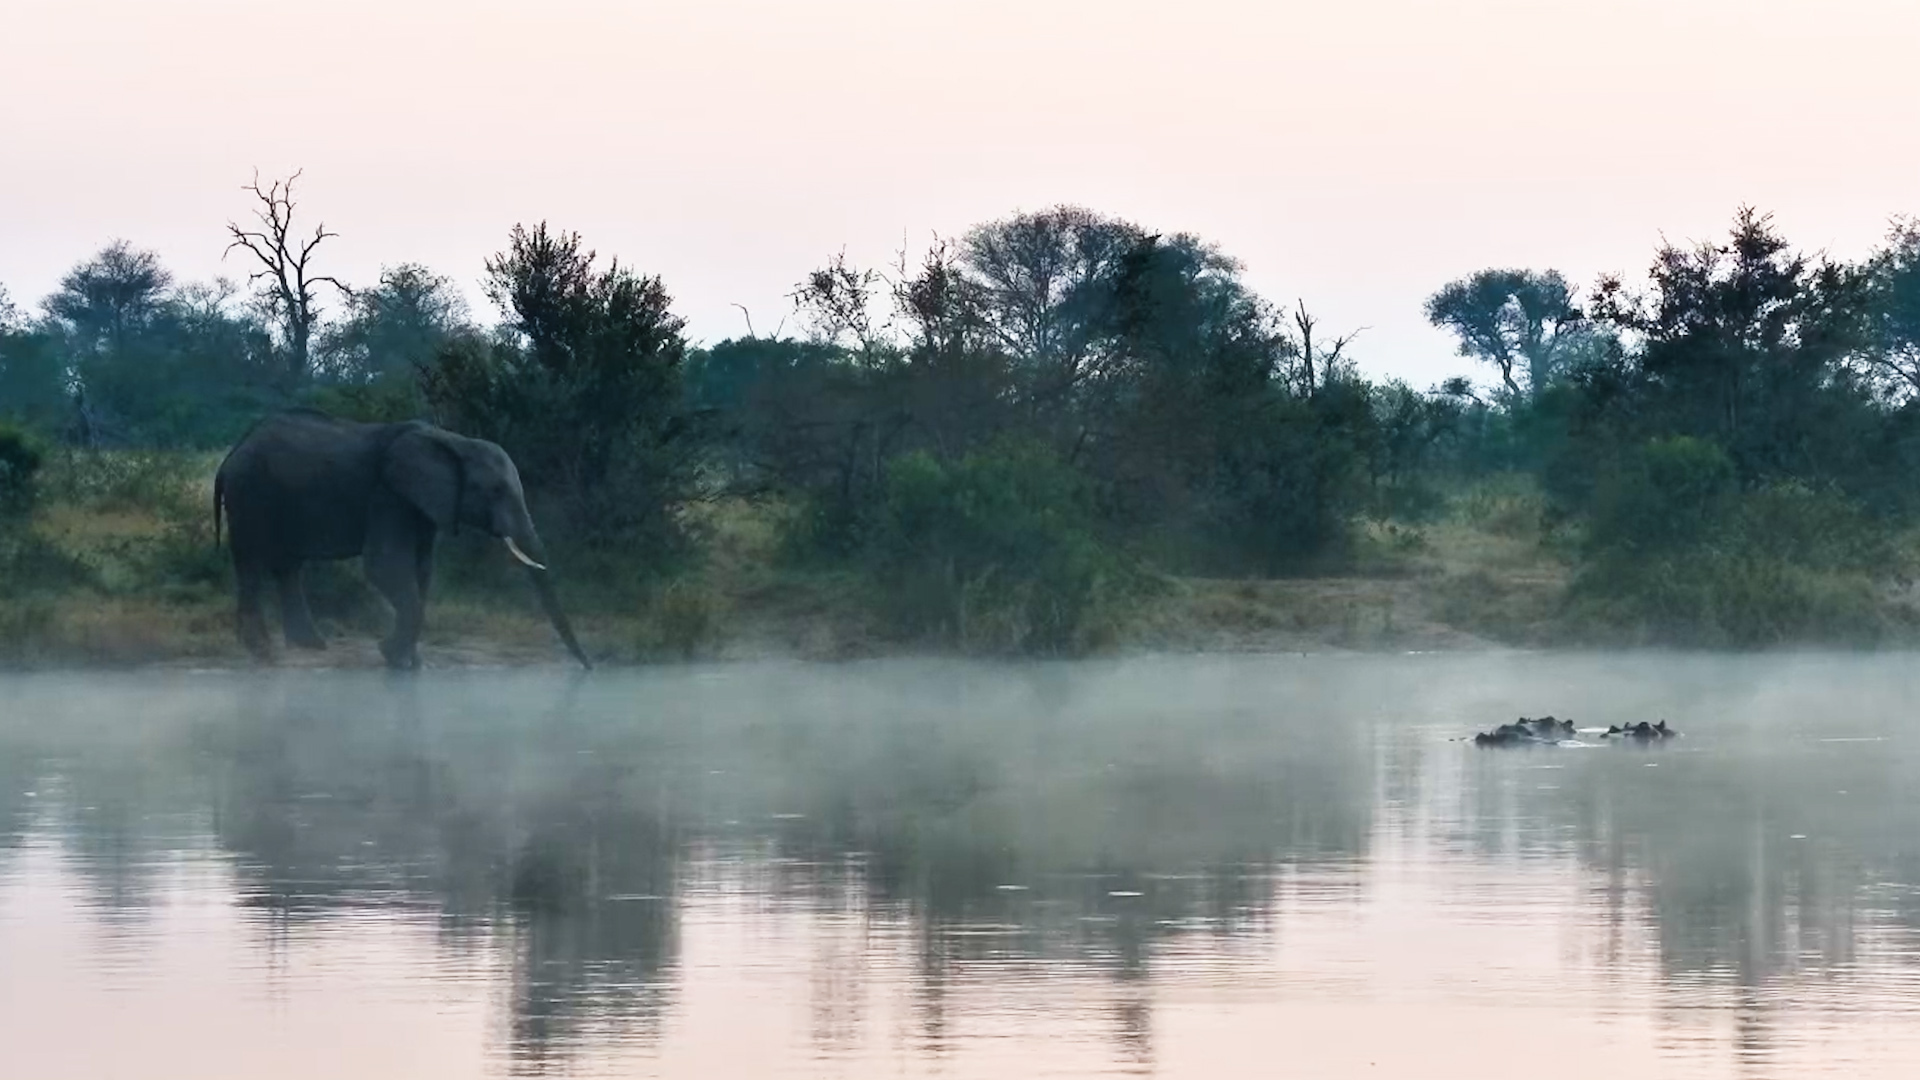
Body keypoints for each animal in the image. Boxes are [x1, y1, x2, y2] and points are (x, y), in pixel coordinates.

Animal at [213, 409, 591, 670]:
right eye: (496, 491)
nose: (589, 669)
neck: (453, 440)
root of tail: (232, 453)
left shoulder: (424, 503)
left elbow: (422, 569)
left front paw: (409, 663)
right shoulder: (389, 494)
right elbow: (386, 566)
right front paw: (393, 658)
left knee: (287, 567)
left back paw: (309, 647)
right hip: (250, 493)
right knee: (251, 563)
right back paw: (263, 652)